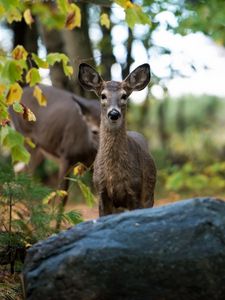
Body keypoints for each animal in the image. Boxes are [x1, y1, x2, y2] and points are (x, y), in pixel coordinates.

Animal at [78, 62, 156, 216]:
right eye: (103, 95)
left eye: (124, 96)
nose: (114, 114)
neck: (114, 176)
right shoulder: (101, 192)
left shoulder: (135, 190)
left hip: (149, 195)